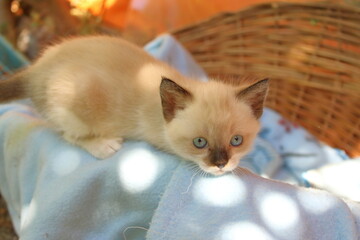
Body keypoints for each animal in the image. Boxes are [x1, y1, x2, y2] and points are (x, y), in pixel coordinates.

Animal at [0, 35, 268, 175]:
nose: (221, 165)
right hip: (76, 102)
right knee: (67, 134)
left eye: (236, 141)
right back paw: (104, 145)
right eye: (200, 143)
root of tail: (35, 70)